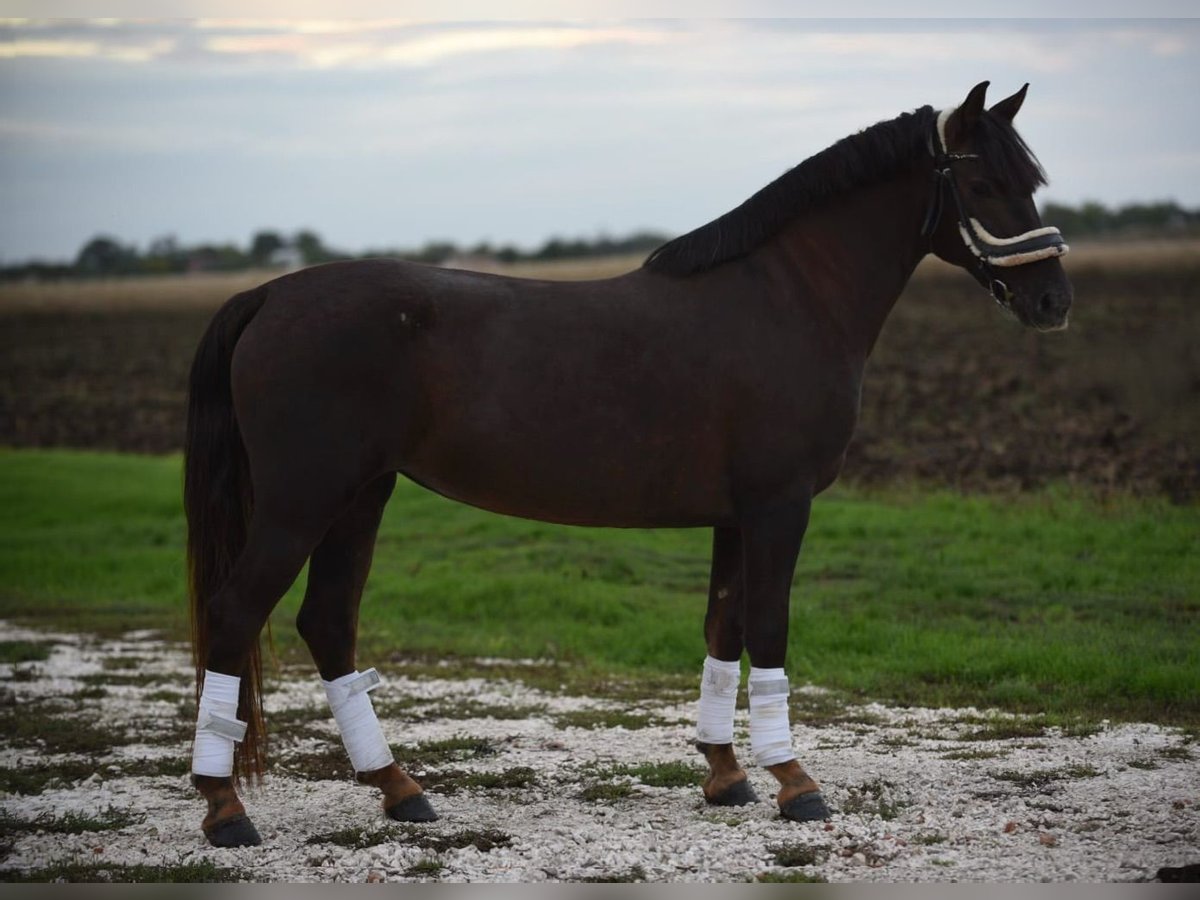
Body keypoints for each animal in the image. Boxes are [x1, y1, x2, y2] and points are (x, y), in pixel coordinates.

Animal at [184, 81, 1070, 849]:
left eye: (1031, 179)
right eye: (984, 182)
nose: (1055, 303)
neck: (789, 297)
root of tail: (269, 295)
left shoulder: (735, 515)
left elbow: (724, 627)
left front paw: (726, 776)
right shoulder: (780, 504)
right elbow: (770, 628)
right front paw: (795, 783)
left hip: (360, 496)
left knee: (328, 622)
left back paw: (400, 791)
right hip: (303, 501)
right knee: (235, 615)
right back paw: (226, 809)